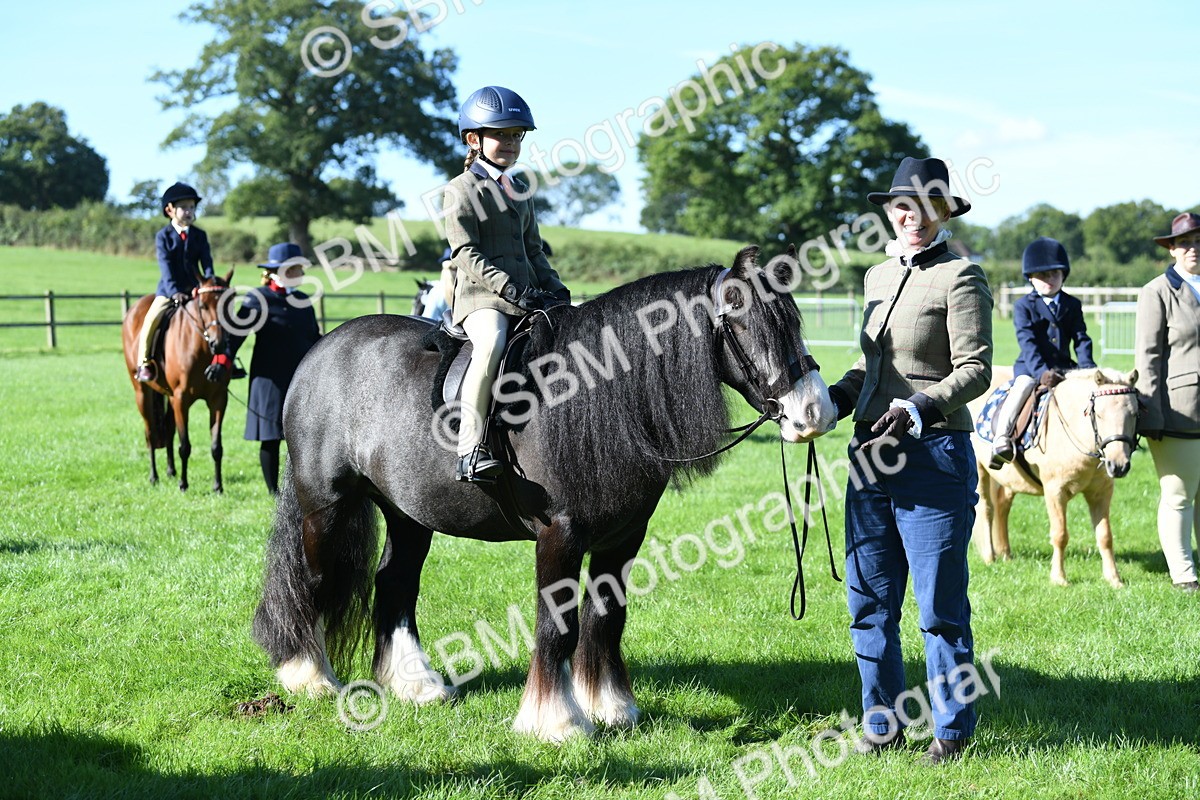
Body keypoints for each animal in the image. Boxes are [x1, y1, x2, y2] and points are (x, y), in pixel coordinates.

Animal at [121, 272, 234, 492]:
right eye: (203, 305)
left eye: (228, 304)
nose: (219, 344)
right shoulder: (182, 400)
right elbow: (185, 445)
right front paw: (183, 484)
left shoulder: (218, 399)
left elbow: (216, 446)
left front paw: (218, 486)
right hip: (143, 393)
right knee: (150, 433)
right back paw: (154, 476)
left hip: (169, 397)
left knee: (168, 429)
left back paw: (171, 471)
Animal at [251, 246, 837, 742]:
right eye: (742, 320)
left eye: (793, 321)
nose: (816, 412)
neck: (595, 395)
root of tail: (324, 348)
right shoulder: (561, 535)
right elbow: (558, 625)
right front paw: (557, 721)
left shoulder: (623, 538)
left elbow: (606, 618)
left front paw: (611, 707)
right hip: (324, 504)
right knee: (314, 578)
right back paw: (308, 675)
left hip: (408, 514)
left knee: (394, 583)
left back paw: (415, 685)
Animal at [968, 366, 1140, 588]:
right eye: (1099, 414)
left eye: (1134, 414)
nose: (1118, 465)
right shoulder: (1055, 492)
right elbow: (1060, 535)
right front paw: (1059, 578)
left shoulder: (1101, 493)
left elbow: (1105, 536)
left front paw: (1114, 579)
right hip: (979, 469)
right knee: (986, 508)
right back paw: (990, 557)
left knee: (1002, 505)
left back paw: (1006, 554)